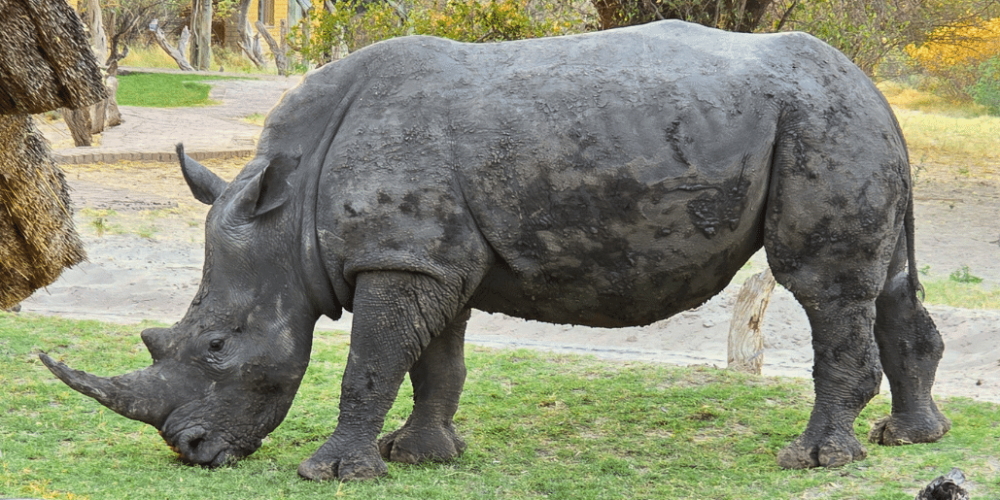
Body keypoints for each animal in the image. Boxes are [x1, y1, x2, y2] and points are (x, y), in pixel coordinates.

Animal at [41, 20, 951, 481]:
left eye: (218, 347)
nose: (190, 452)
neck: (288, 215)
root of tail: (872, 85)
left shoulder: (401, 257)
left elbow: (368, 363)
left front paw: (332, 473)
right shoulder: (428, 257)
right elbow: (430, 363)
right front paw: (420, 456)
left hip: (819, 124)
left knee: (824, 287)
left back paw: (812, 460)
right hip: (842, 126)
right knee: (890, 284)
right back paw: (910, 441)